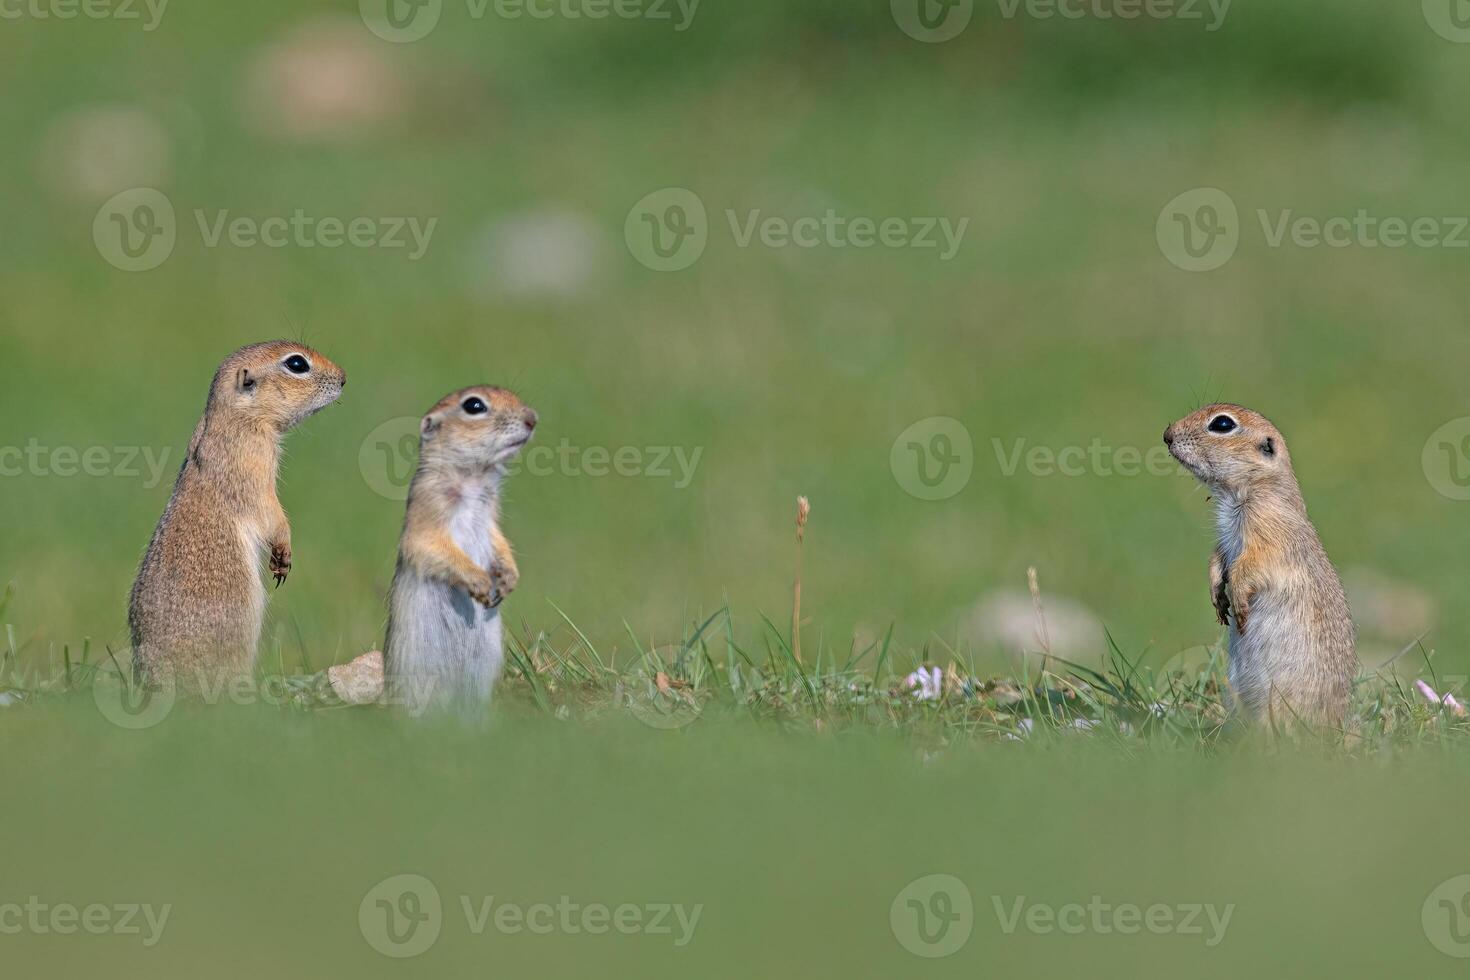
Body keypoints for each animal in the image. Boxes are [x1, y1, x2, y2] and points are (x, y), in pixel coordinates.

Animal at [129, 340, 346, 693]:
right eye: (296, 364)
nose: (343, 378)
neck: (237, 417)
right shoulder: (253, 460)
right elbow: (269, 510)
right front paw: (283, 553)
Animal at [382, 382, 538, 714]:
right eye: (474, 406)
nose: (533, 418)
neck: (474, 479)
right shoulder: (427, 508)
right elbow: (430, 547)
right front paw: (480, 582)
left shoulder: (490, 518)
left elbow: (498, 540)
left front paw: (508, 579)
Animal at [1164, 402, 1358, 731]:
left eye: (1223, 424)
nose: (1167, 435)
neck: (1244, 491)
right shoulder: (1225, 541)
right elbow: (1217, 559)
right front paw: (1217, 597)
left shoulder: (1269, 537)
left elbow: (1251, 567)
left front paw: (1238, 603)